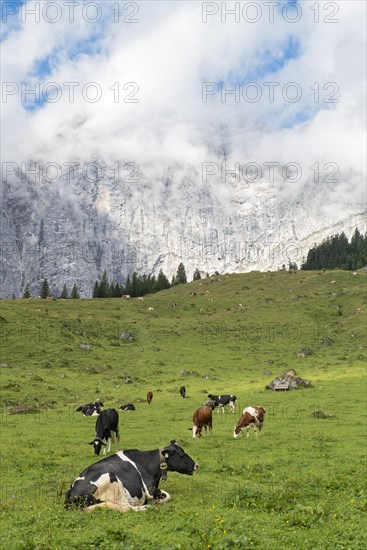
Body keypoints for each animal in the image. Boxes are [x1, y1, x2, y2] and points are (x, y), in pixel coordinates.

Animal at [64, 442, 200, 516]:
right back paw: (147, 507)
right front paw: (157, 501)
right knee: (127, 508)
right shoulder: (150, 490)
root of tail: (72, 493)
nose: (196, 465)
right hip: (113, 480)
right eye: (181, 454)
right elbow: (167, 496)